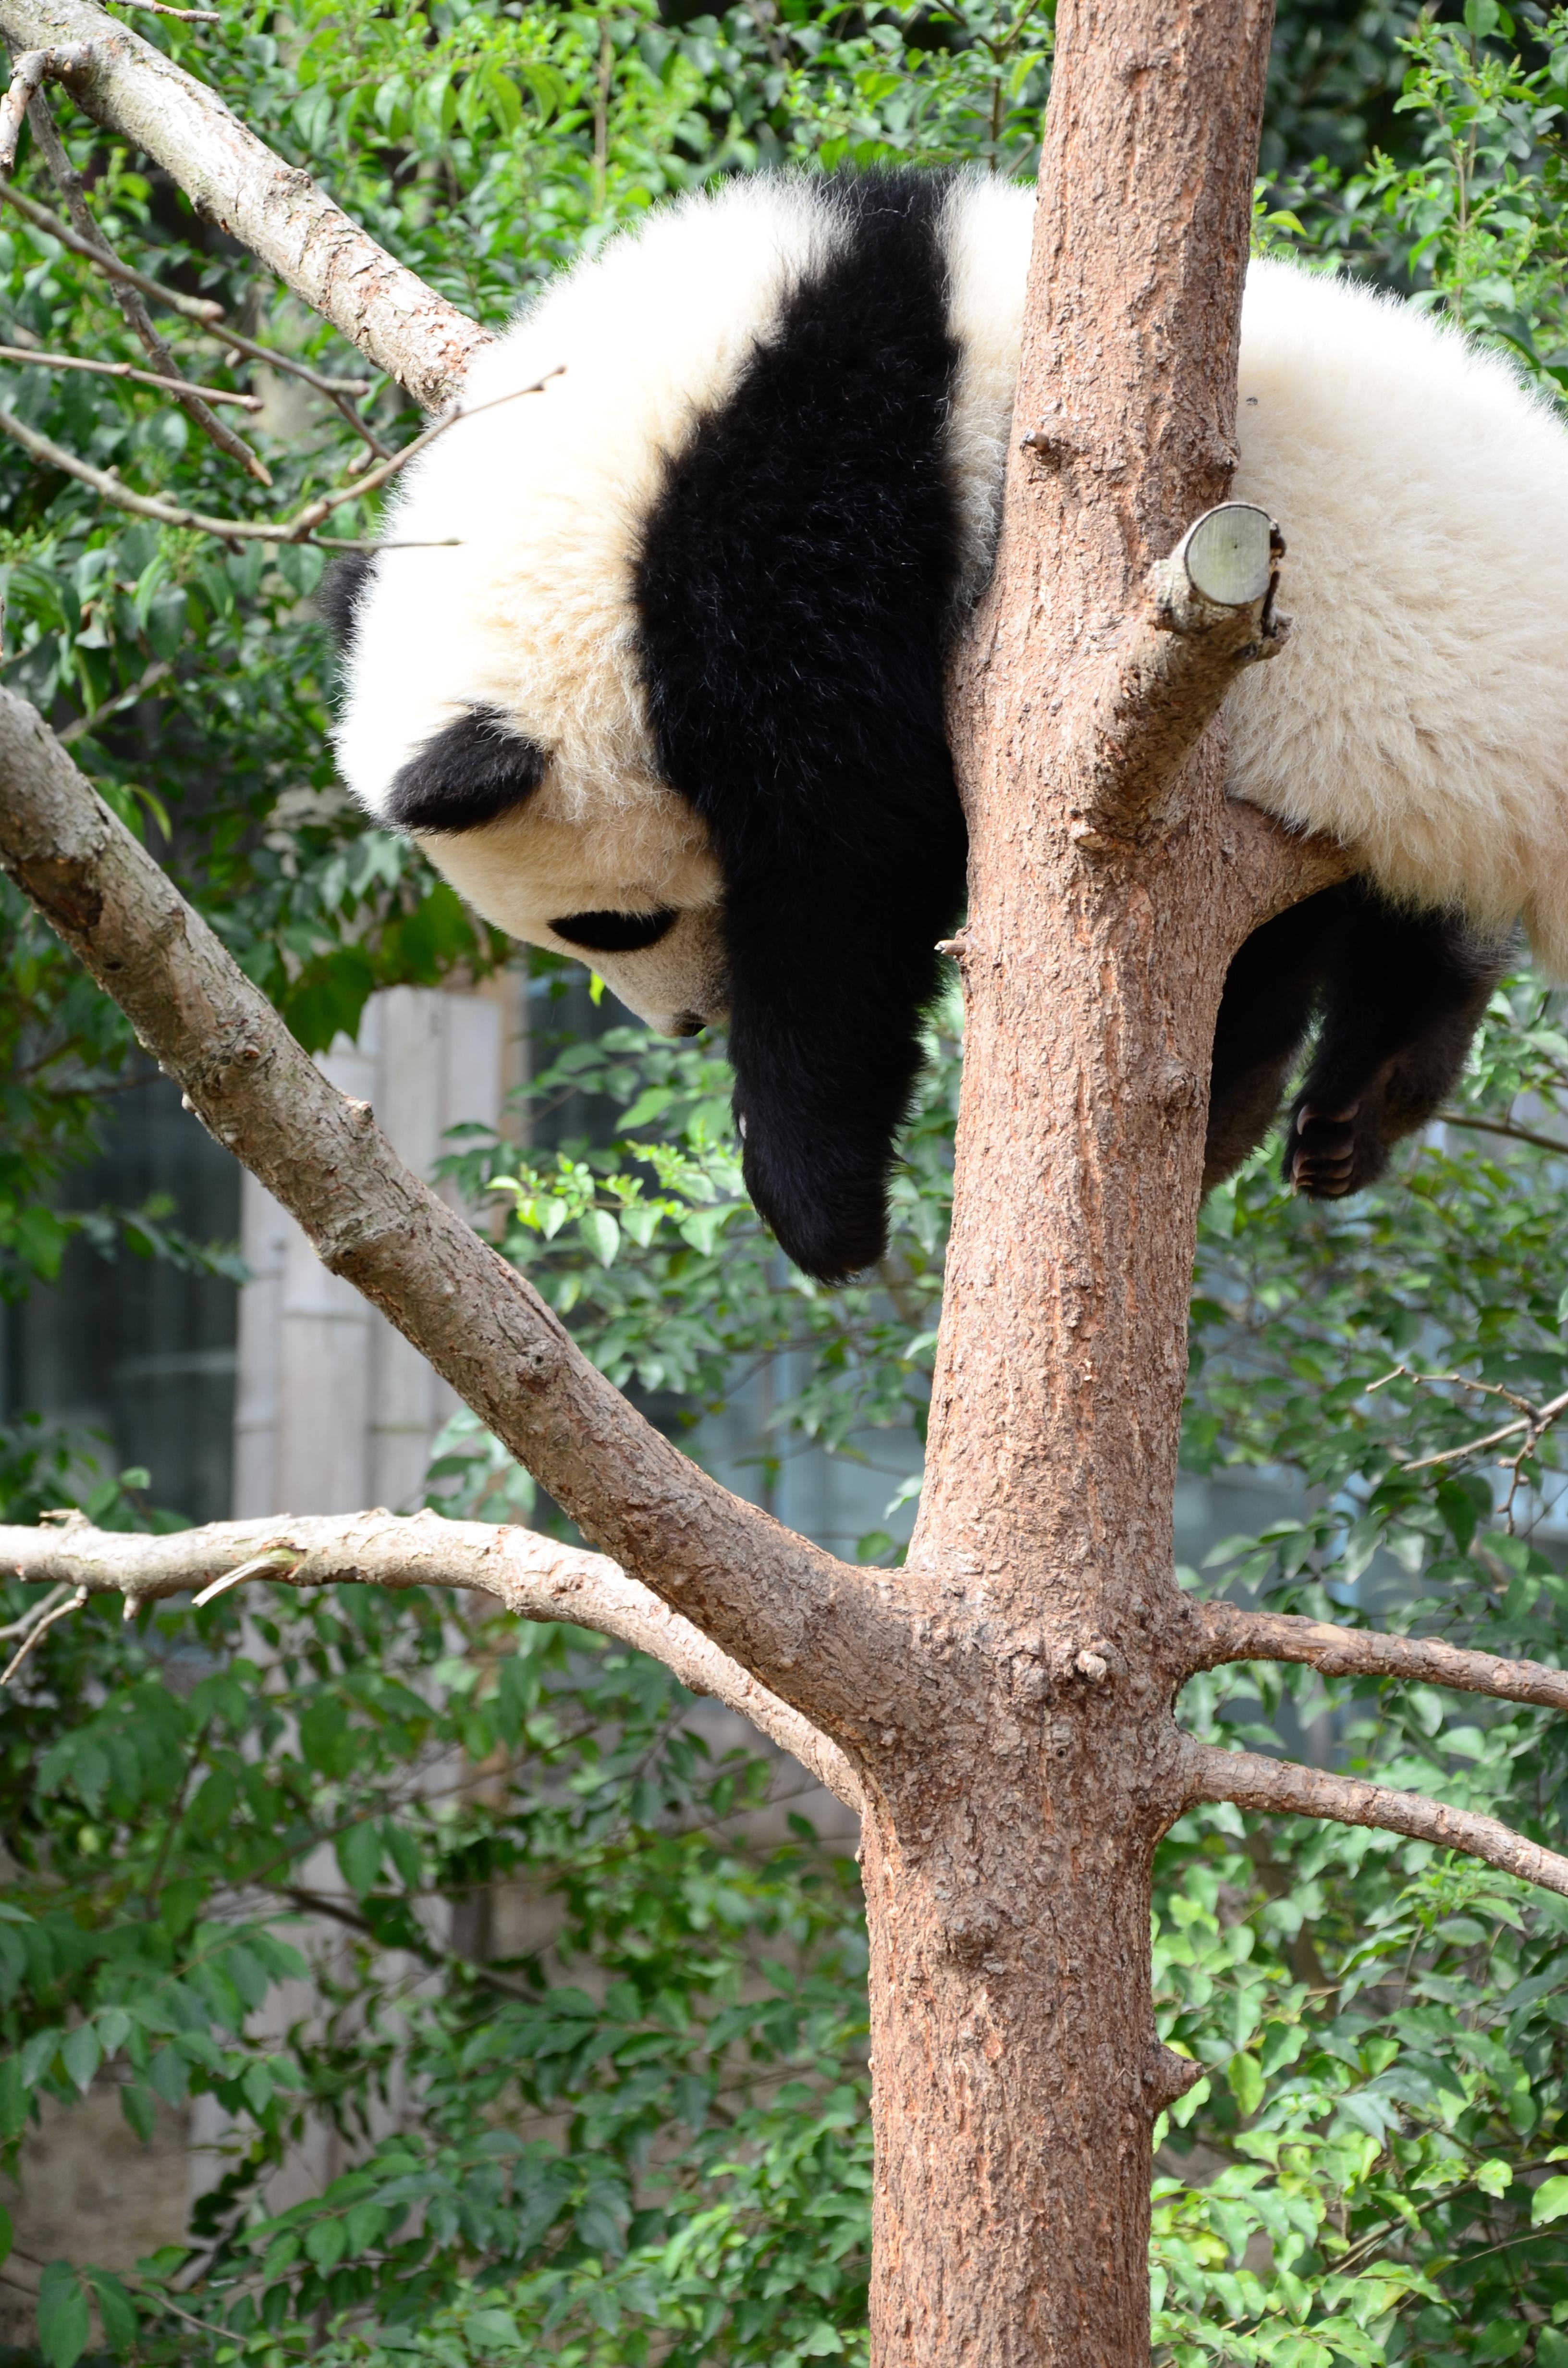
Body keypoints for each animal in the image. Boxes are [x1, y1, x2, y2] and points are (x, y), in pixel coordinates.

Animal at [324, 169, 1563, 1288]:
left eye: (605, 924)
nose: (683, 1022)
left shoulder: (811, 531)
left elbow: (854, 867)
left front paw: (818, 1206)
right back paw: (1328, 1099)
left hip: (1392, 707)